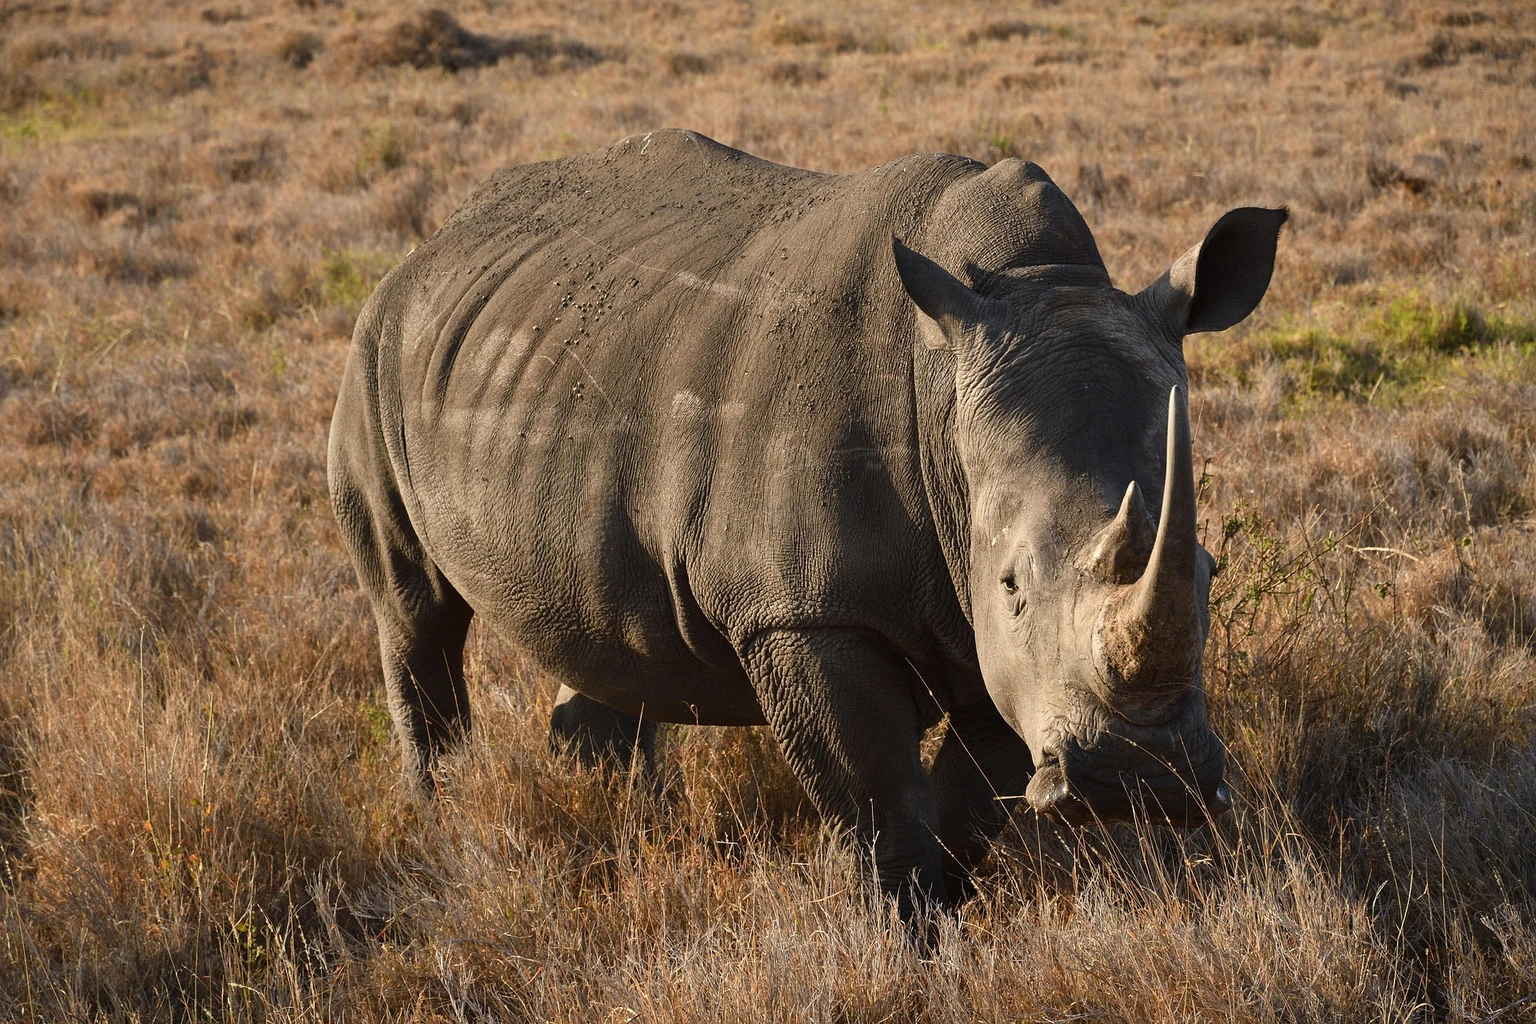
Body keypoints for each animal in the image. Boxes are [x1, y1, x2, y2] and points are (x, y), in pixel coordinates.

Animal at [328, 130, 1286, 915]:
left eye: (1209, 573)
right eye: (1011, 583)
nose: (1143, 779)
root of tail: (430, 245)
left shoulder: (990, 644)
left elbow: (969, 807)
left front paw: (947, 915)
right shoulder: (803, 609)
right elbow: (881, 809)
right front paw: (905, 946)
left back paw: (622, 819)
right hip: (376, 351)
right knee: (415, 609)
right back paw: (444, 818)